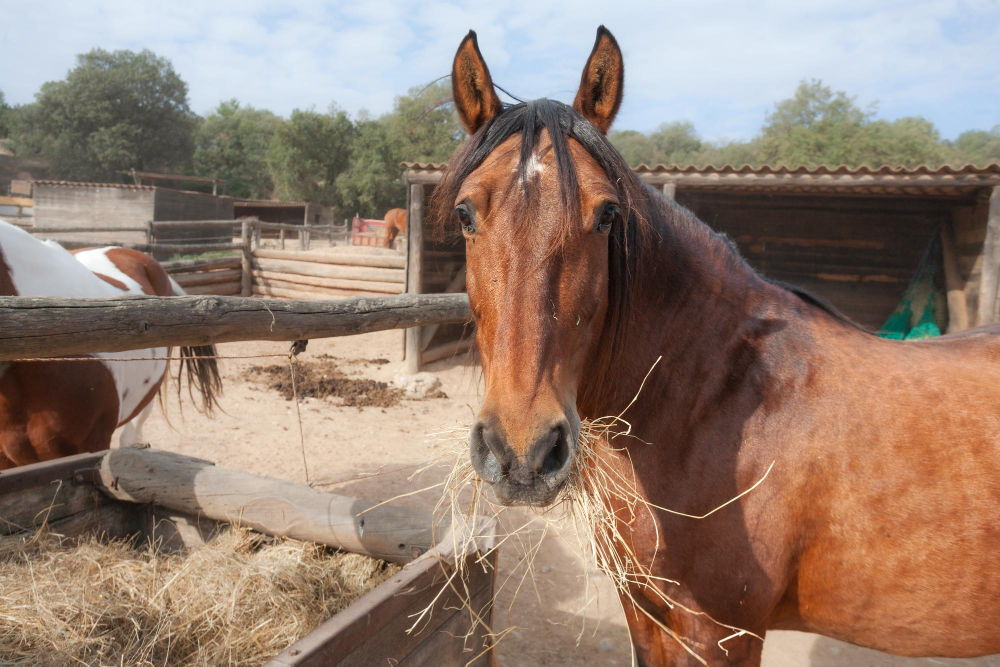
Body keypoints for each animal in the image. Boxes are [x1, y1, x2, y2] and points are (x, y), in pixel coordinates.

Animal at [444, 27, 1000, 667]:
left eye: (607, 215)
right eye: (465, 213)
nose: (523, 452)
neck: (709, 403)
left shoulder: (720, 636)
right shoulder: (645, 613)